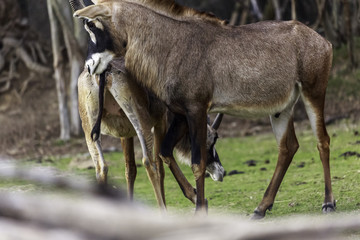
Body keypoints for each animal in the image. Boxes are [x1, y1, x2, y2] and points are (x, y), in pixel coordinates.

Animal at [74, 0, 336, 218]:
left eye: (94, 25)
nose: (89, 66)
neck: (171, 43)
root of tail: (322, 40)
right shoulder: (181, 113)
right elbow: (169, 154)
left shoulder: (197, 109)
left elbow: (196, 163)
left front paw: (200, 209)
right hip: (281, 109)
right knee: (288, 147)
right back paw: (261, 208)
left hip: (314, 91)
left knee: (322, 140)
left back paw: (328, 203)